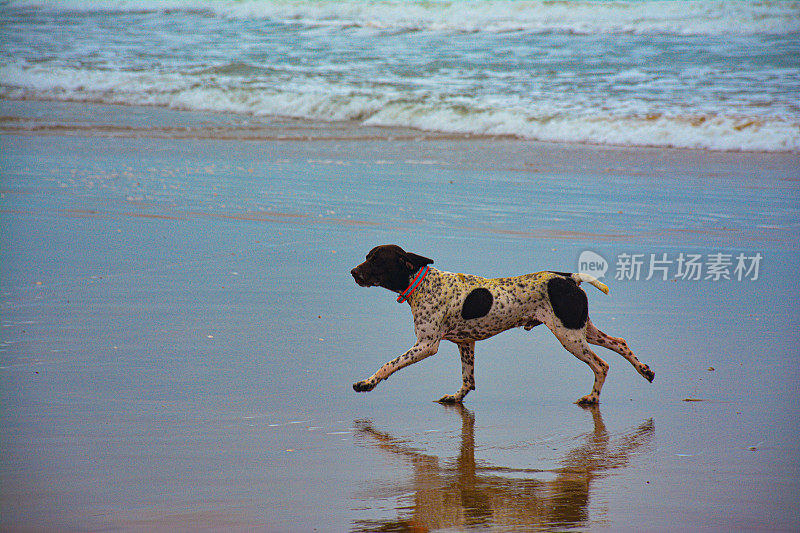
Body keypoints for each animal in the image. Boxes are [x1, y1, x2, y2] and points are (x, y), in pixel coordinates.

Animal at [352, 245, 656, 404]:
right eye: (366, 257)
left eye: (375, 260)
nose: (353, 271)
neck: (422, 283)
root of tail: (569, 278)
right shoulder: (466, 342)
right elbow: (468, 380)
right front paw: (457, 397)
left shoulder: (426, 345)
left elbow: (388, 365)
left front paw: (367, 383)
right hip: (583, 330)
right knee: (621, 343)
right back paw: (645, 370)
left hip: (569, 336)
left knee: (601, 364)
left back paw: (592, 398)